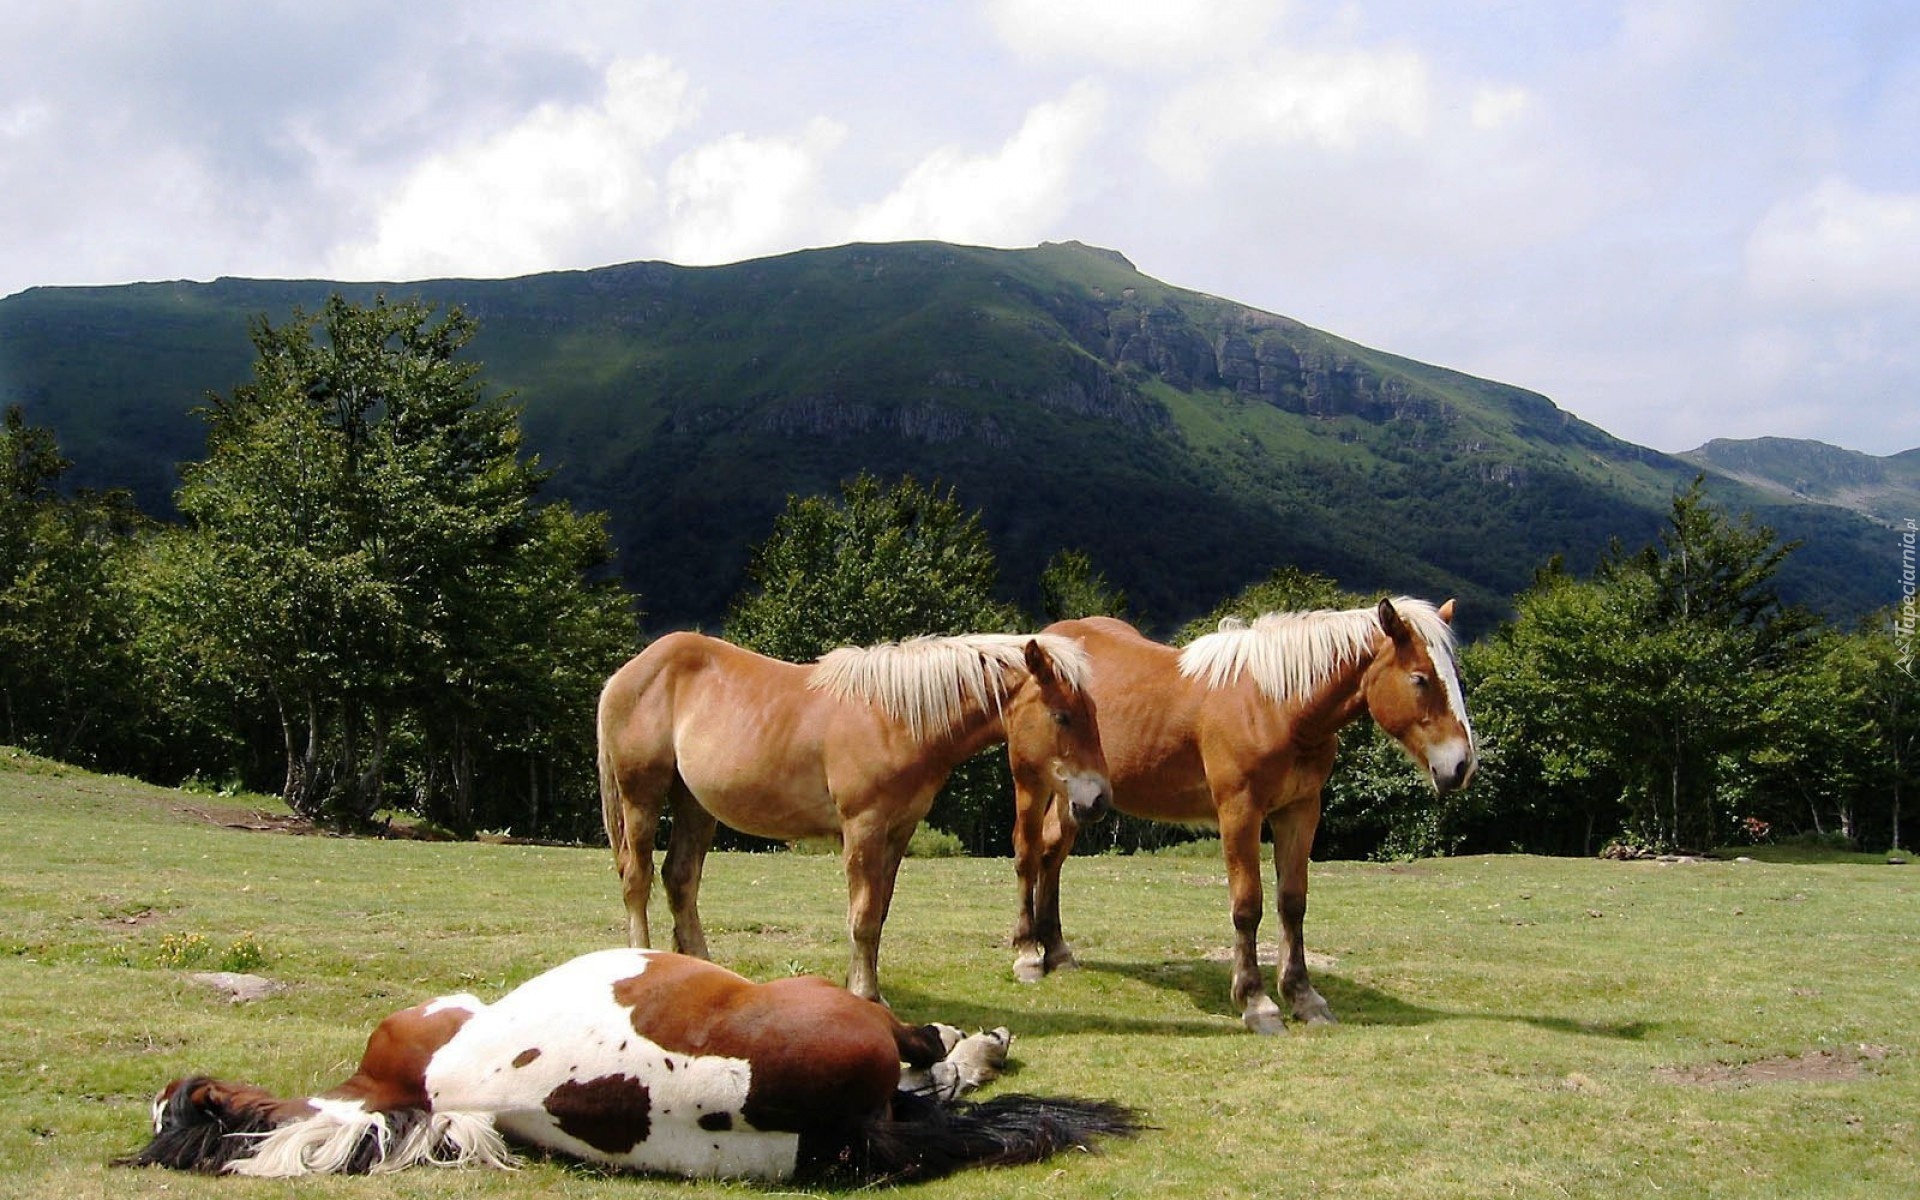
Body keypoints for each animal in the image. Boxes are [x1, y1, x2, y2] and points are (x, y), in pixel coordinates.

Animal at [599, 633, 1113, 1006]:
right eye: (1062, 715)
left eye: (1093, 712)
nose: (1098, 799)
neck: (896, 720)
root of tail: (628, 673)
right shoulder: (863, 827)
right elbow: (862, 916)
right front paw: (866, 994)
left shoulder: (898, 831)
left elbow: (877, 914)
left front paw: (862, 985)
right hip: (641, 797)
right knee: (637, 879)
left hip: (694, 805)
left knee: (680, 880)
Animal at [1013, 595, 1474, 1029]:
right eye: (1420, 679)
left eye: (1454, 676)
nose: (1462, 765)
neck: (1276, 707)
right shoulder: (1240, 812)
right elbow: (1247, 905)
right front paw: (1256, 1002)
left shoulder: (1300, 811)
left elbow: (1293, 902)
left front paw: (1304, 997)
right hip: (1032, 784)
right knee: (1028, 855)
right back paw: (1028, 953)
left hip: (1078, 797)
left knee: (1052, 855)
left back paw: (1057, 952)